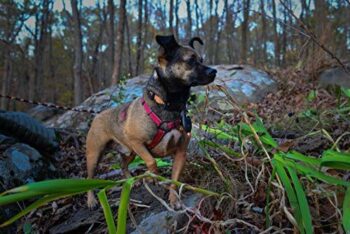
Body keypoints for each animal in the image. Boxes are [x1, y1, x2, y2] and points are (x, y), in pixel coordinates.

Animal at [86, 34, 215, 208]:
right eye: (190, 60)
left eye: (201, 59)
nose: (214, 71)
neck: (169, 105)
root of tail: (98, 115)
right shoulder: (137, 142)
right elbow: (152, 161)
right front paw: (154, 177)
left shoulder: (181, 153)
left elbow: (174, 180)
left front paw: (174, 198)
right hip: (95, 154)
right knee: (89, 178)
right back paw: (91, 199)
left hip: (130, 152)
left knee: (123, 165)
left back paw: (131, 181)